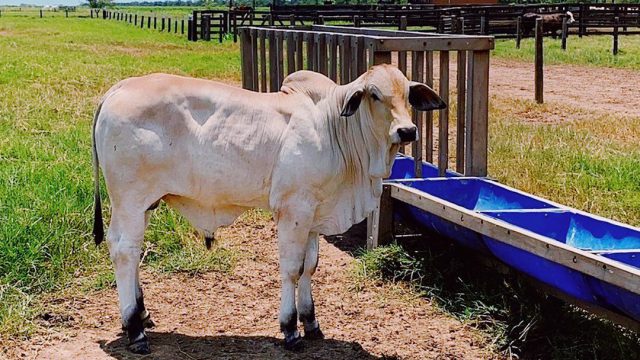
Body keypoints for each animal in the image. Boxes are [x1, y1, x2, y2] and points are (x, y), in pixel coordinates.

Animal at [92, 65, 444, 354]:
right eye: (374, 94)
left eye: (408, 94)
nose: (407, 130)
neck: (334, 129)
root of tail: (118, 88)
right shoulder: (293, 210)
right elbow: (291, 269)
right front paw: (290, 329)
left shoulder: (314, 214)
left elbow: (310, 266)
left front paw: (312, 323)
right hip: (130, 200)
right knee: (124, 251)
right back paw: (134, 330)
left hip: (145, 203)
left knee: (131, 253)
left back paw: (142, 314)